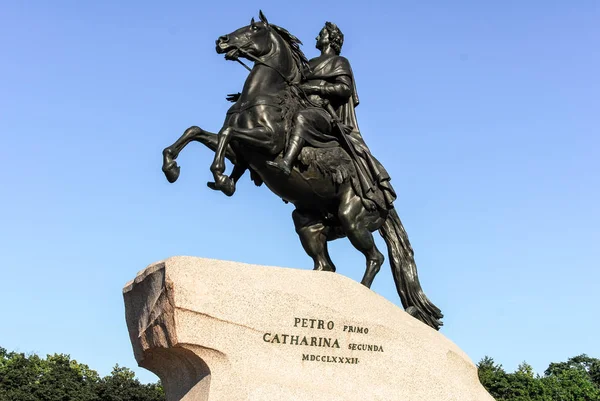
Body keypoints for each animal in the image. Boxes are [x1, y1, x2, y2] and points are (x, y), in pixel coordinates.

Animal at [162, 12, 442, 330]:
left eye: (254, 28)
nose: (222, 41)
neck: (265, 97)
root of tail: (386, 200)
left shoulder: (268, 143)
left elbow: (226, 133)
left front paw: (220, 175)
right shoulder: (241, 151)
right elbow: (197, 131)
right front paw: (173, 167)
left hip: (352, 218)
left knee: (376, 258)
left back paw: (361, 294)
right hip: (308, 223)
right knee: (326, 265)